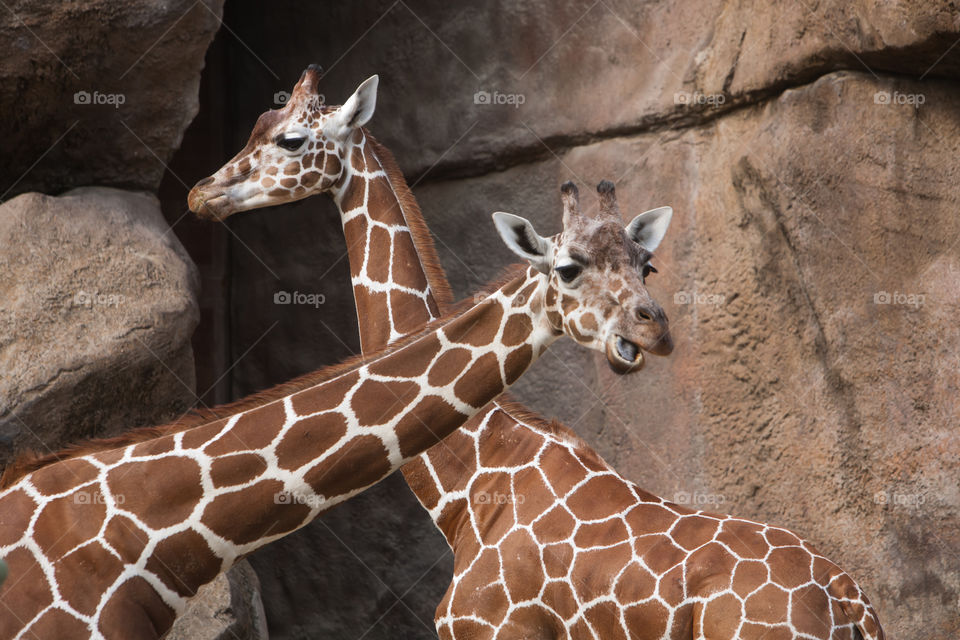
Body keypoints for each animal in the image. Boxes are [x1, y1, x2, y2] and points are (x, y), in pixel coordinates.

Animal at [188, 66, 885, 640]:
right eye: (256, 128)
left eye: (290, 141)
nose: (201, 194)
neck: (470, 474)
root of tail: (849, 602)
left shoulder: (493, 629)